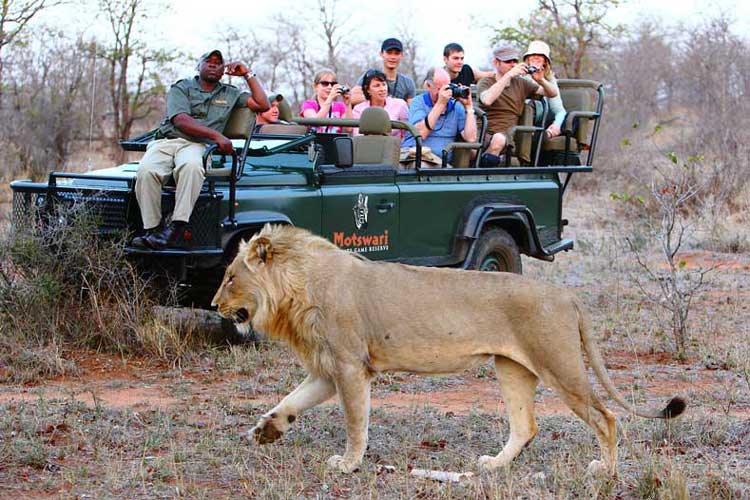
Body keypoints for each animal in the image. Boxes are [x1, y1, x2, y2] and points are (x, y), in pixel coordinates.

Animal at [213, 225, 688, 474]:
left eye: (232, 277)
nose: (215, 304)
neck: (297, 288)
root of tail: (566, 294)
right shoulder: (329, 369)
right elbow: (290, 400)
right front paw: (266, 431)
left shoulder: (350, 366)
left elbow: (355, 422)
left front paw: (348, 464)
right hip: (512, 368)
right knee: (525, 426)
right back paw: (493, 465)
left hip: (560, 365)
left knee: (605, 417)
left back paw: (605, 470)